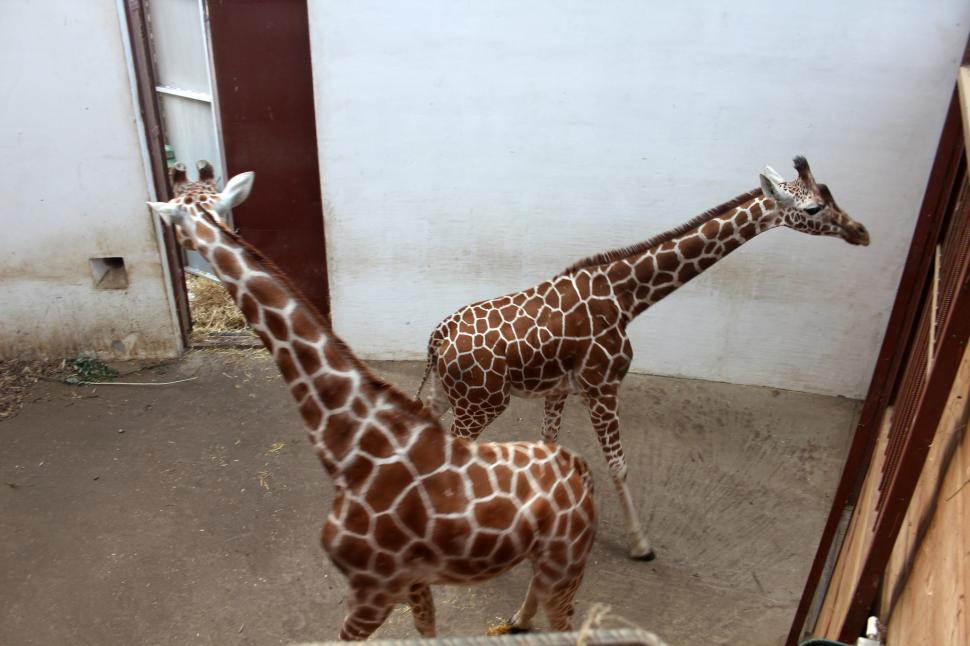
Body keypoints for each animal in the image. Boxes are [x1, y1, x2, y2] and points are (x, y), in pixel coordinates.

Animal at [148, 163, 597, 640]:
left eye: (177, 214)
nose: (185, 247)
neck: (351, 450)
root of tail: (583, 475)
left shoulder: (373, 586)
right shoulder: (411, 580)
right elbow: (426, 631)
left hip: (565, 562)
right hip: (549, 560)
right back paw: (517, 621)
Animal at [417, 156, 869, 560]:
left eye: (830, 192)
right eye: (813, 207)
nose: (861, 232)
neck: (626, 299)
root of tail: (439, 336)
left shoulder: (560, 388)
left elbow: (550, 443)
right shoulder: (602, 386)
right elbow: (618, 466)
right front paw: (640, 545)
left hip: (446, 392)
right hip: (482, 403)